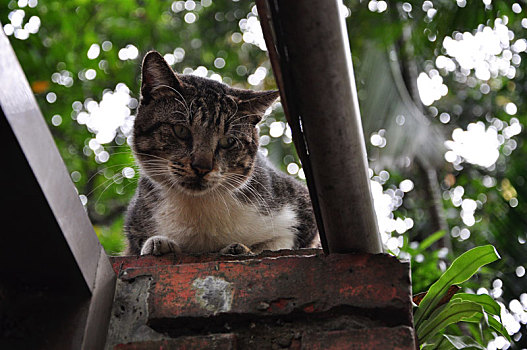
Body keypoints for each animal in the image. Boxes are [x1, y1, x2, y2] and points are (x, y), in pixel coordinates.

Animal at [126, 50, 320, 256]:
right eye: (180, 130)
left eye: (228, 141)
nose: (202, 167)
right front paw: (158, 244)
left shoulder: (303, 207)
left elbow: (279, 242)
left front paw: (242, 248)